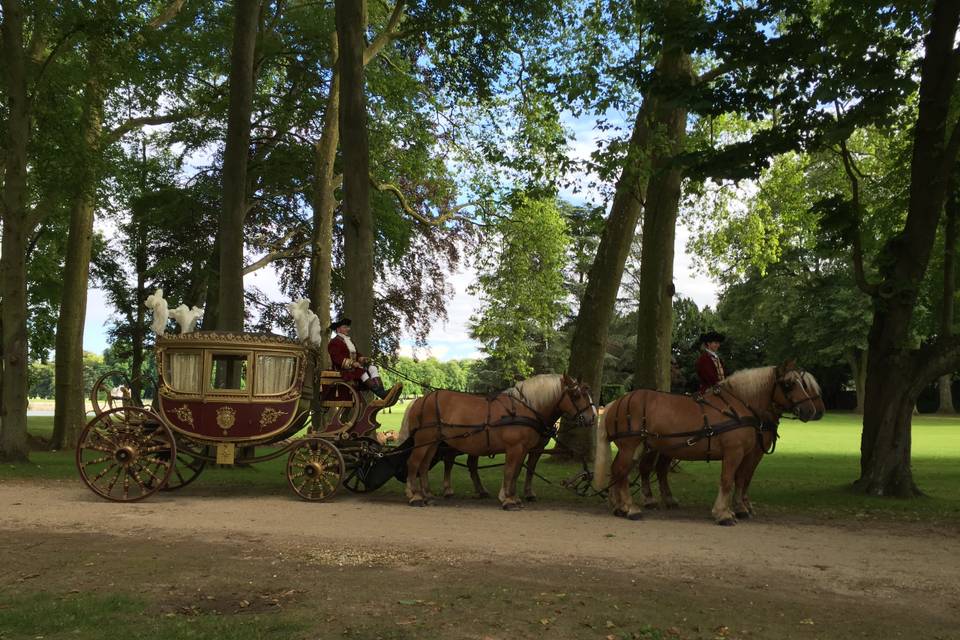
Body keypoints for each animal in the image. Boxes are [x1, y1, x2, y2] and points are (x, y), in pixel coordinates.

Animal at [396, 372, 592, 508]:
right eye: (576, 396)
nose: (592, 417)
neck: (524, 408)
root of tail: (419, 400)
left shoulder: (524, 449)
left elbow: (517, 472)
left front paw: (514, 496)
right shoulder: (514, 447)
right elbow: (509, 471)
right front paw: (507, 499)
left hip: (433, 442)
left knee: (424, 465)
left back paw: (428, 495)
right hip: (425, 440)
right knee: (414, 463)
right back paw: (414, 495)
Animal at [596, 362, 820, 524]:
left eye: (803, 383)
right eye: (789, 384)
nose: (811, 410)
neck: (739, 406)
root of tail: (616, 402)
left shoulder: (748, 453)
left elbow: (741, 479)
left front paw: (740, 508)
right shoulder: (735, 452)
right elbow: (728, 480)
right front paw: (724, 513)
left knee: (623, 470)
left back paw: (620, 506)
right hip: (632, 445)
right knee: (625, 471)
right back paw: (631, 508)